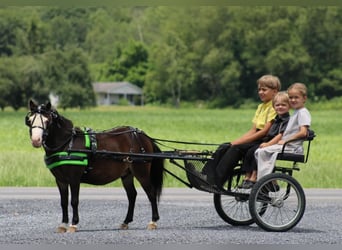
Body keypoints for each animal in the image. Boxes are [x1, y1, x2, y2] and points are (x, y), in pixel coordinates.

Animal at [25, 100, 164, 232]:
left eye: (47, 120)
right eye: (30, 120)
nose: (36, 140)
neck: (67, 144)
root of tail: (144, 136)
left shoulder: (74, 178)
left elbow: (74, 201)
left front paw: (73, 224)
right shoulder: (60, 180)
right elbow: (63, 202)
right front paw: (63, 224)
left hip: (141, 172)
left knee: (151, 193)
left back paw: (153, 221)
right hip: (127, 174)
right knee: (132, 195)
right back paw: (126, 222)